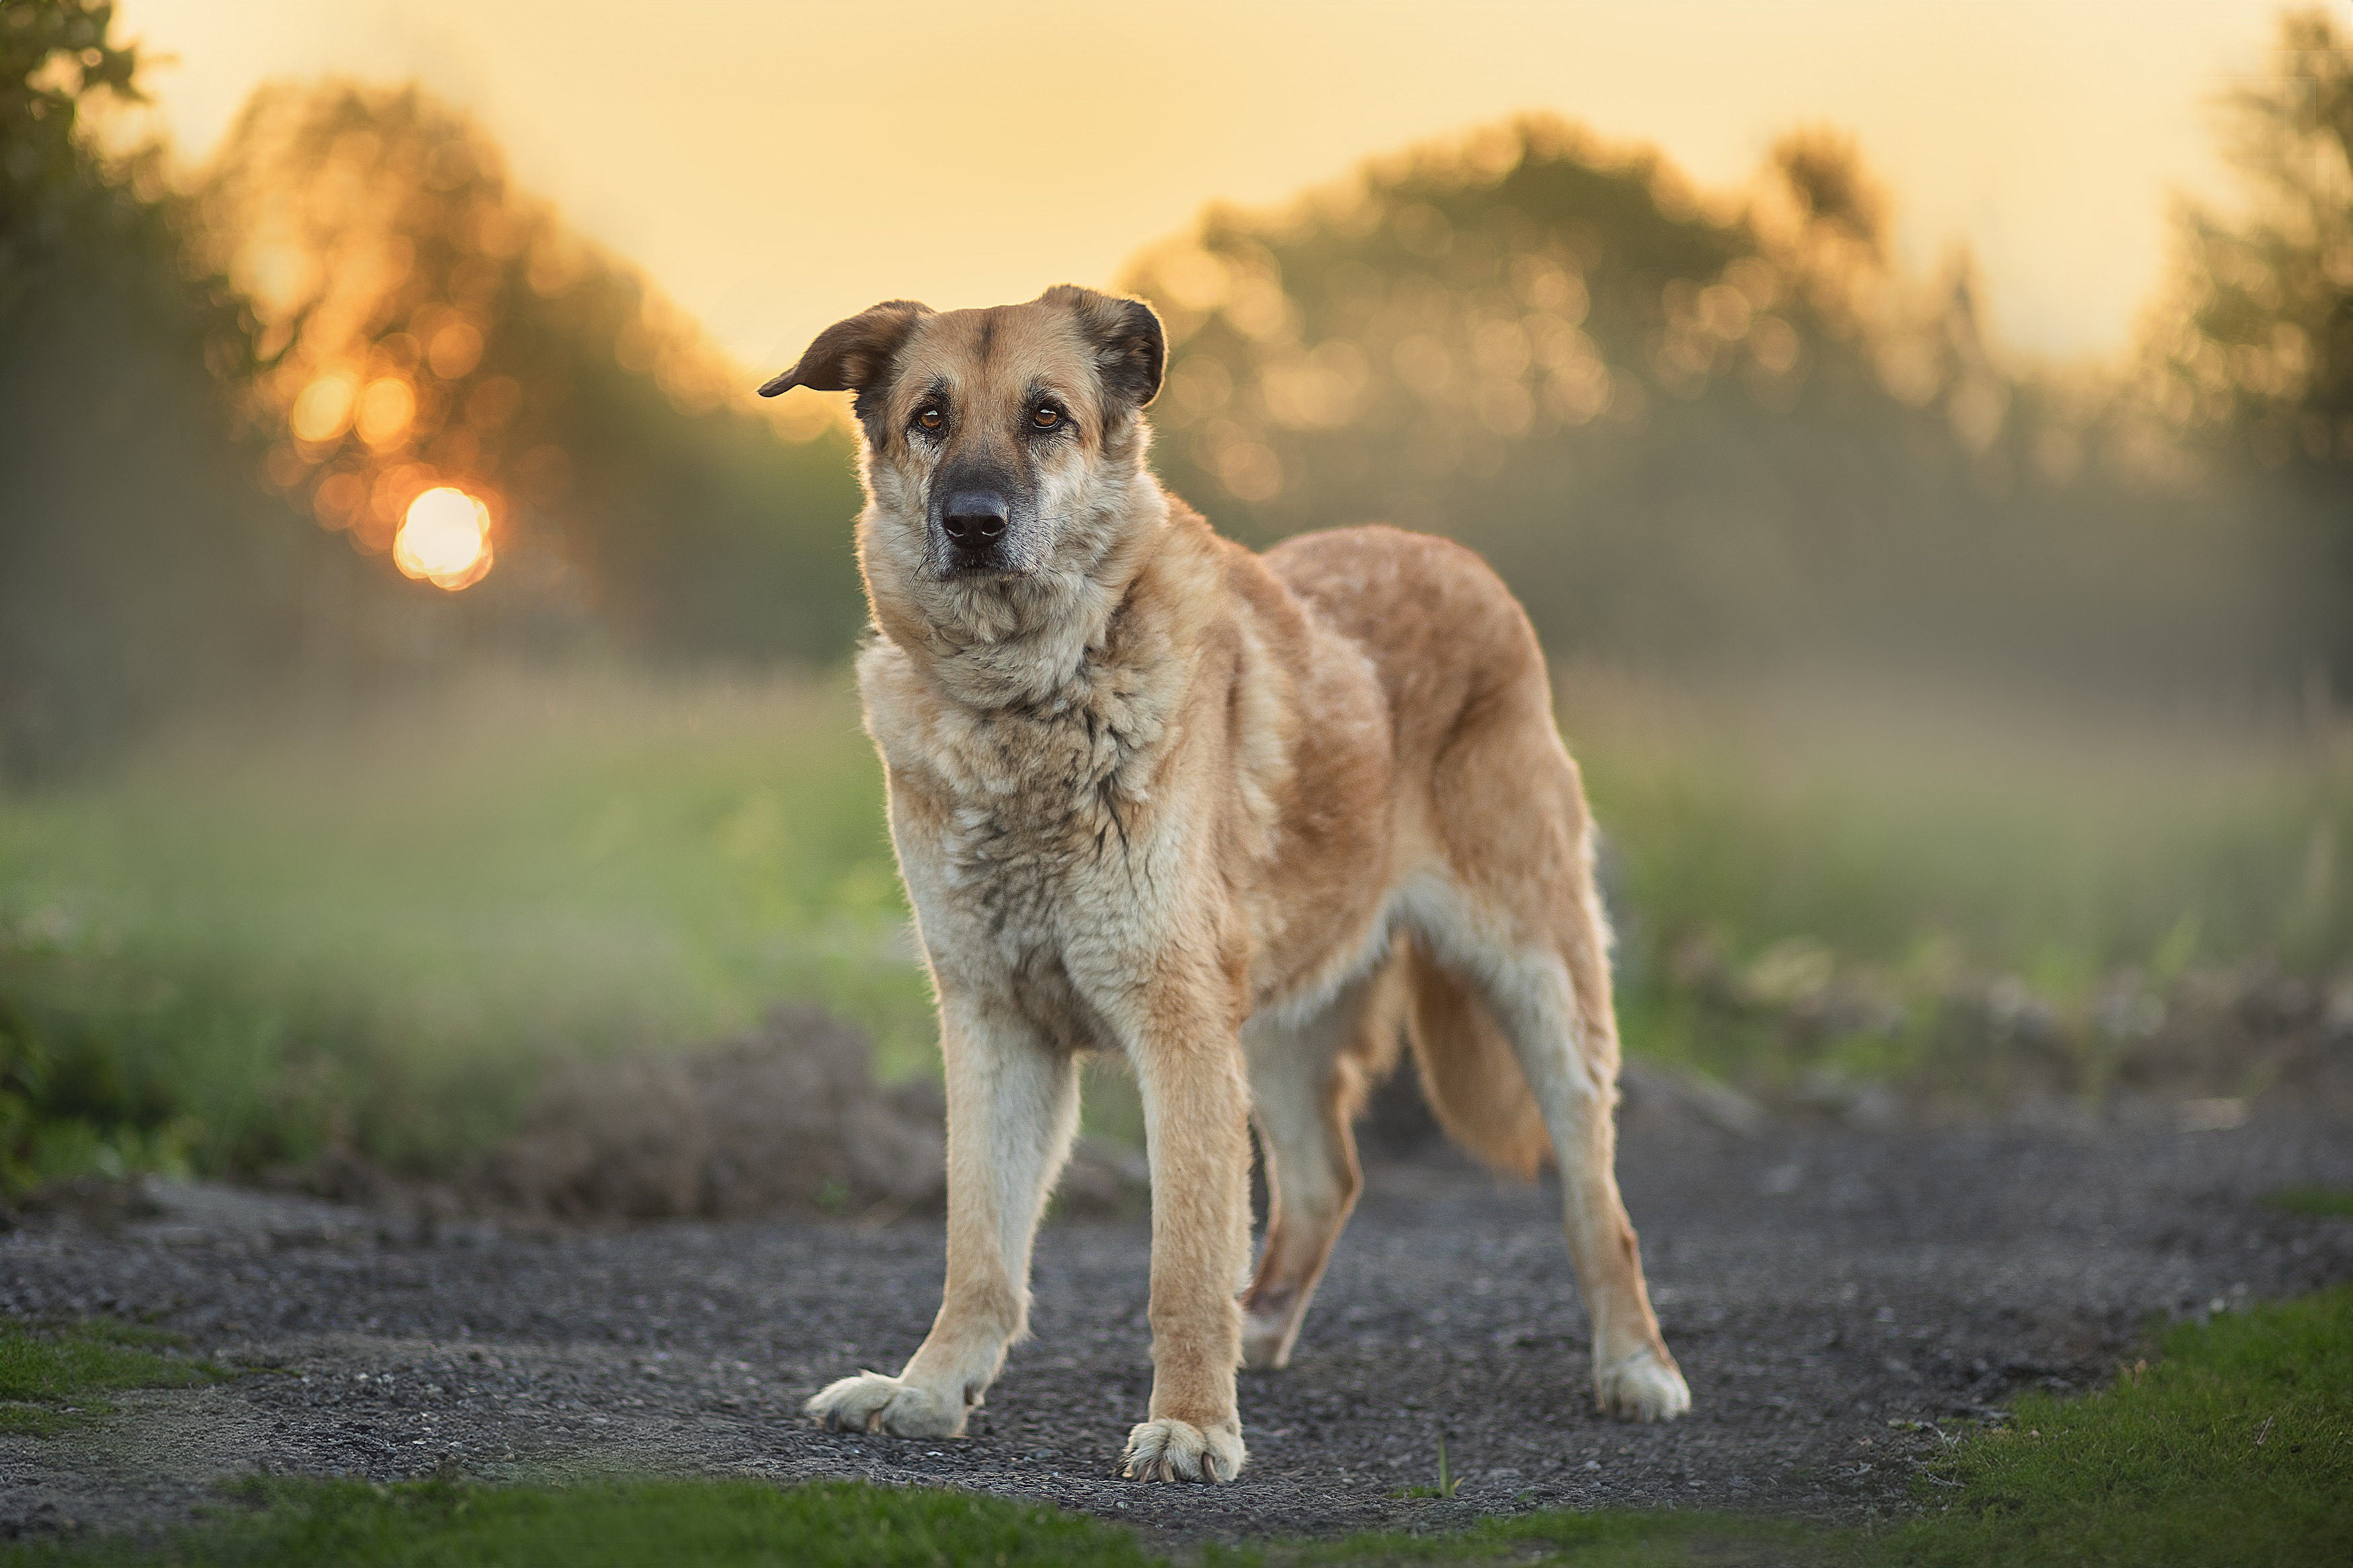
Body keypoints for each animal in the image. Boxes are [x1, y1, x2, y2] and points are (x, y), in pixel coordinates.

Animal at [762, 285, 1685, 1485]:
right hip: (1278, 1028)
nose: (971, 522)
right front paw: (927, 1388)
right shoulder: (995, 1025)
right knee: (1327, 1178)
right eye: (930, 417)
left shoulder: (1178, 1027)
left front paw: (1193, 1422)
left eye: (1048, 416)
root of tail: (1457, 560)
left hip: (1542, 993)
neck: (1027, 701)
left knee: (1596, 1203)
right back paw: (1263, 1324)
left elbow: (1181, 1262)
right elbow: (981, 1246)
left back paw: (1636, 1365)